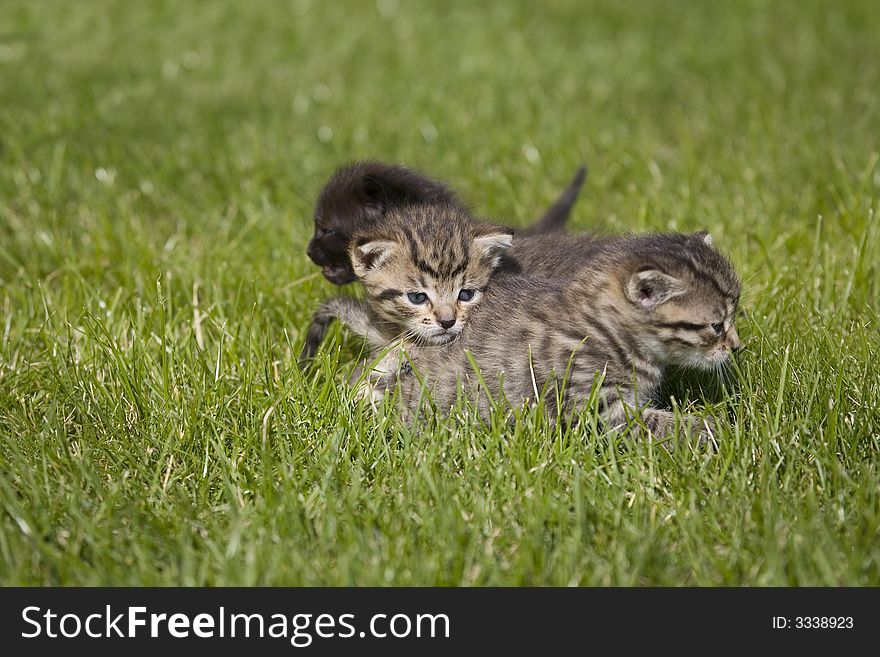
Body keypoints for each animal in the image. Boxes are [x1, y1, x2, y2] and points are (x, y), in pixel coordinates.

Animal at [378, 233, 744, 444]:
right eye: (716, 326)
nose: (736, 346)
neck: (605, 329)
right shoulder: (595, 405)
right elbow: (664, 426)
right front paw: (720, 428)